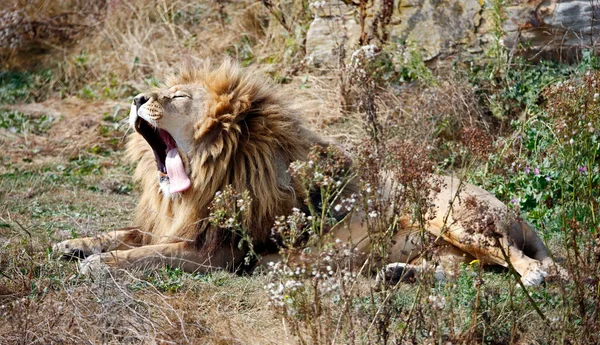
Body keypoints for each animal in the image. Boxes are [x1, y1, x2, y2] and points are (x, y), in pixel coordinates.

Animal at [52, 59, 564, 284]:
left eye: (177, 97)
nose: (137, 98)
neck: (204, 179)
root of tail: (518, 215)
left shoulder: (217, 253)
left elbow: (148, 254)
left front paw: (101, 264)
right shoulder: (176, 225)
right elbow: (127, 234)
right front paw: (73, 244)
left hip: (453, 214)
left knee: (530, 263)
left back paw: (533, 277)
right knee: (461, 269)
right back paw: (399, 273)